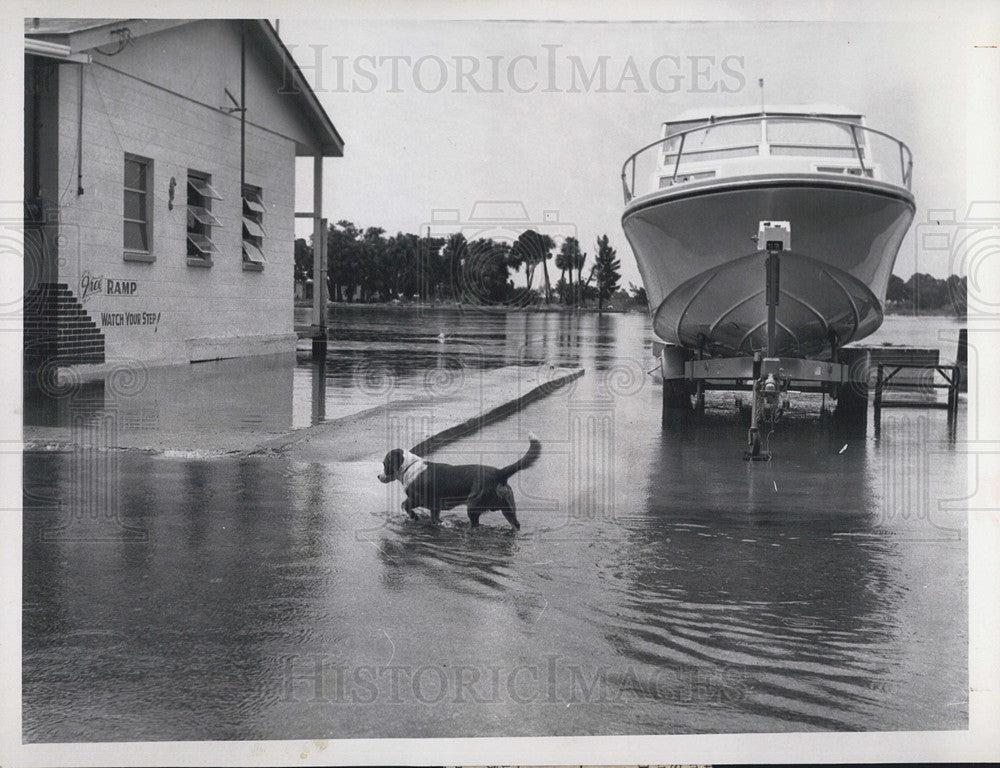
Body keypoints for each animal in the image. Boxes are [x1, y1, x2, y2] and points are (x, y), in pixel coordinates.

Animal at [378, 436, 544, 532]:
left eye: (385, 463)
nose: (379, 476)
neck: (409, 467)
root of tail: (499, 473)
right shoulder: (435, 507)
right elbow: (435, 519)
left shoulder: (416, 499)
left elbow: (405, 505)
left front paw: (415, 517)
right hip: (508, 509)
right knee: (516, 525)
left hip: (473, 507)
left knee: (476, 525)